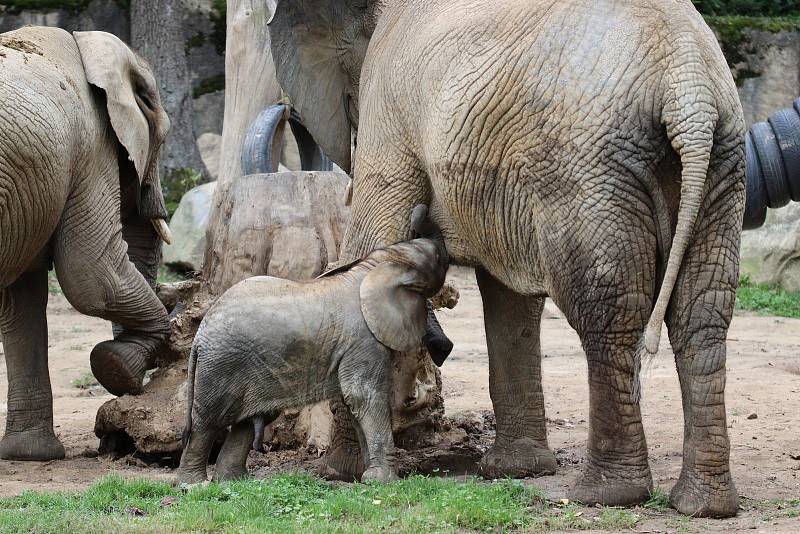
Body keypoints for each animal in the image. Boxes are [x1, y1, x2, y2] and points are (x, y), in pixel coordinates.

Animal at [0, 26, 173, 460]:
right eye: (164, 139)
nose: (137, 390)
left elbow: (20, 302)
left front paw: (30, 455)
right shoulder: (92, 147)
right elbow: (93, 277)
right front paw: (115, 365)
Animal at [177, 206, 446, 486]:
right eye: (440, 259)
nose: (420, 211)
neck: (375, 267)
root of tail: (199, 337)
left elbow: (354, 402)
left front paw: (366, 477)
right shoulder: (363, 340)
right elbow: (365, 396)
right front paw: (383, 481)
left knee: (246, 421)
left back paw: (232, 481)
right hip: (221, 365)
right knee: (207, 423)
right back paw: (192, 485)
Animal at [268, 0, 744, 520]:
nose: (440, 346)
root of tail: (689, 89)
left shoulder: (390, 107)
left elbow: (373, 243)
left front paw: (337, 472)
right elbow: (510, 299)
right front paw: (517, 471)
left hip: (587, 171)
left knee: (608, 312)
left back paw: (605, 494)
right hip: (720, 163)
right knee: (701, 313)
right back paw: (704, 505)